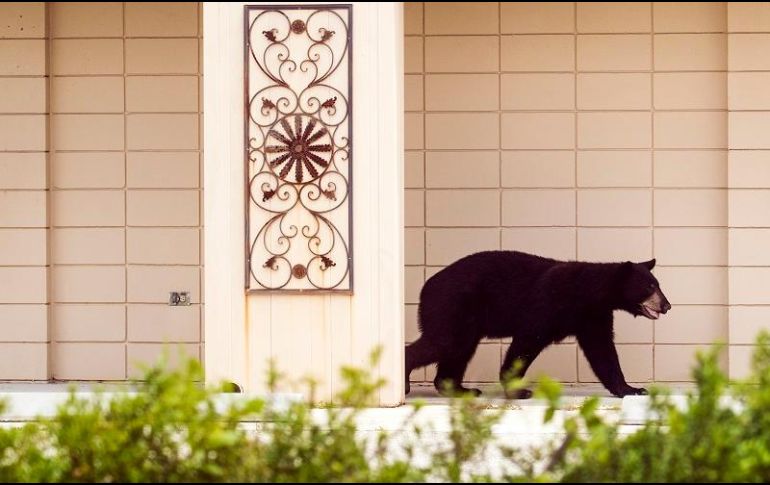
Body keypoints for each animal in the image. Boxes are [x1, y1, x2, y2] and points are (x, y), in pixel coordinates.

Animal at [405, 250, 671, 399]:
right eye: (650, 286)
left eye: (657, 284)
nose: (667, 305)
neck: (589, 292)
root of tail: (425, 288)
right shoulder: (549, 304)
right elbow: (527, 340)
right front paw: (518, 390)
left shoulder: (593, 316)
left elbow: (603, 351)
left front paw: (632, 389)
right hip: (452, 307)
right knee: (443, 342)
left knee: (458, 350)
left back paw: (460, 390)